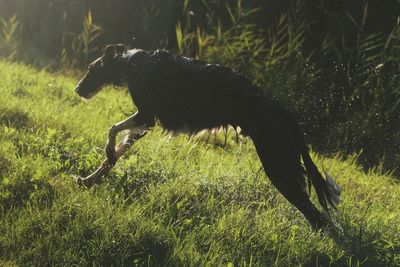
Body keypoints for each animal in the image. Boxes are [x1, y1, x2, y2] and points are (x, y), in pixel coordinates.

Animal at [75, 44, 340, 230]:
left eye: (92, 68)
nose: (77, 89)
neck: (132, 63)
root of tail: (283, 110)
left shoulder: (146, 116)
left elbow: (112, 130)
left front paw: (105, 157)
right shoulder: (142, 125)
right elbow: (114, 155)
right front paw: (90, 179)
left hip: (278, 167)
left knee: (319, 219)